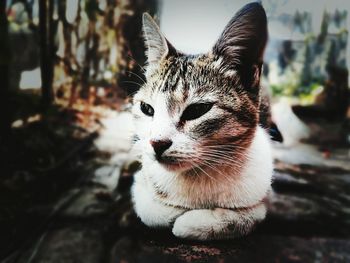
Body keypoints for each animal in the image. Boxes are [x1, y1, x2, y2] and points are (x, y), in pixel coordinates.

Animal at [131, 2, 274, 241]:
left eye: (197, 110)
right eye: (147, 109)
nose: (157, 143)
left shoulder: (263, 198)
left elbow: (249, 216)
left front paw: (194, 222)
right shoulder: (140, 179)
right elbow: (149, 208)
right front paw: (171, 211)